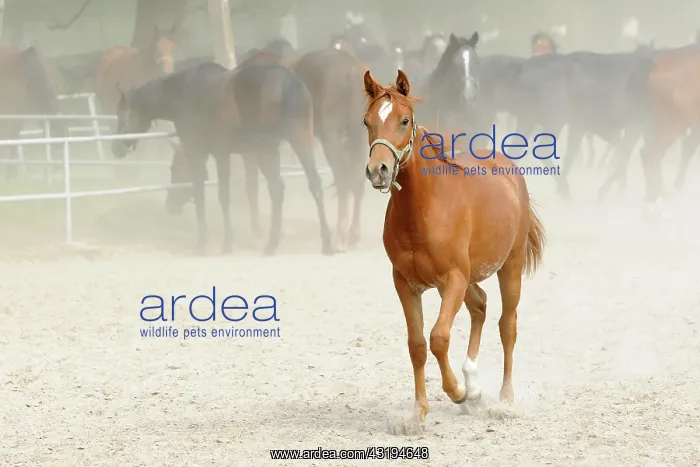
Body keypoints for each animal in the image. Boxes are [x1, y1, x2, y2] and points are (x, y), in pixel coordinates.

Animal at [113, 61, 333, 256]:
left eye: (174, 169)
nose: (116, 148)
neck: (185, 94)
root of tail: (288, 83)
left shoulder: (209, 154)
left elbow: (211, 195)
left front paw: (211, 243)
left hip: (267, 149)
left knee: (277, 188)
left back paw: (272, 244)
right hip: (300, 141)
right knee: (312, 184)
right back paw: (323, 242)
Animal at [294, 48, 367, 251]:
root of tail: (352, 69)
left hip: (331, 136)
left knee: (342, 175)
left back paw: (340, 236)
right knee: (358, 177)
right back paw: (353, 234)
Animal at [362, 69, 546, 433]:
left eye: (404, 120)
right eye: (367, 122)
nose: (378, 171)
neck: (423, 209)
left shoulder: (453, 279)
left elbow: (439, 338)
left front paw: (458, 392)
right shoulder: (406, 283)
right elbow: (417, 344)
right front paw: (418, 412)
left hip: (510, 267)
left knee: (507, 325)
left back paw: (503, 399)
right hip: (469, 277)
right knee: (480, 307)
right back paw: (473, 383)